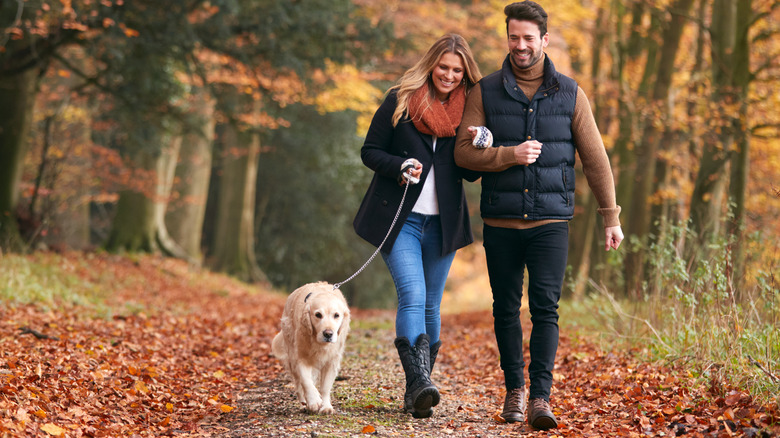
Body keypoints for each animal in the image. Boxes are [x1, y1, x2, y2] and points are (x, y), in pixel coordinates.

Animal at [272, 282, 350, 412]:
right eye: (318, 315)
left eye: (336, 315)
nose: (328, 334)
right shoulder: (300, 357)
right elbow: (306, 381)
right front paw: (313, 401)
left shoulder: (331, 361)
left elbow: (325, 387)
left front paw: (326, 406)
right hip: (291, 354)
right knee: (298, 384)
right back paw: (304, 401)